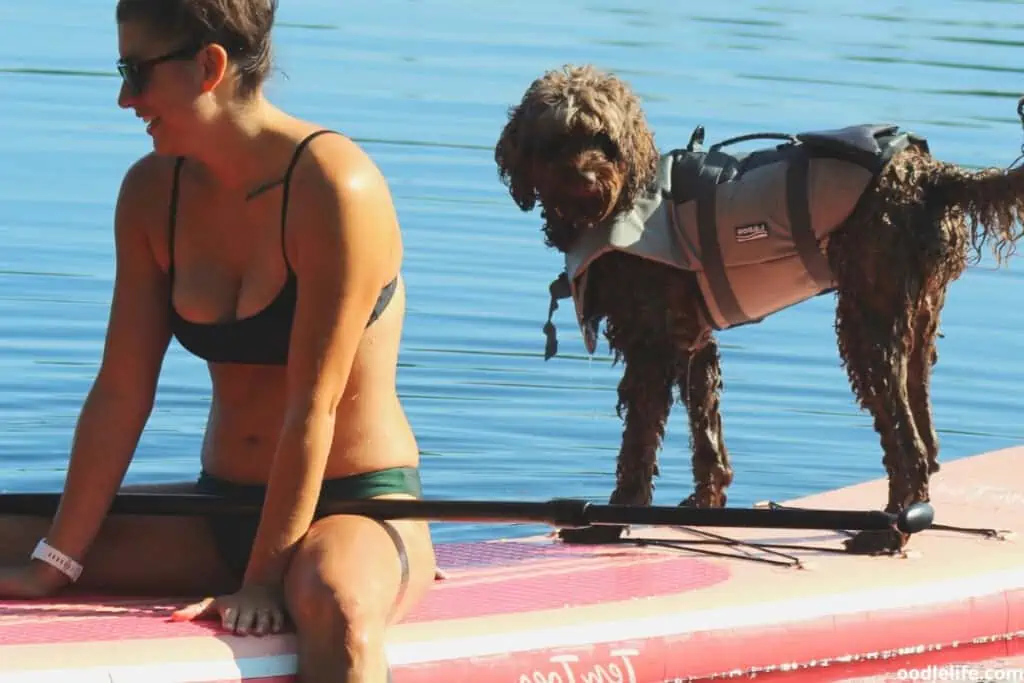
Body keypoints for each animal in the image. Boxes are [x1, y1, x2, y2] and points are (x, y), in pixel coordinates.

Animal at [491, 63, 1024, 557]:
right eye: (556, 140)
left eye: (604, 139)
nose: (585, 179)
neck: (625, 201)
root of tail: (930, 175)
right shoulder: (695, 344)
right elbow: (706, 436)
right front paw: (700, 507)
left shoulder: (651, 349)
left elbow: (638, 447)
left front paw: (610, 521)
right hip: (917, 324)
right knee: (924, 439)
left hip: (867, 326)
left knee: (907, 447)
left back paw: (885, 536)